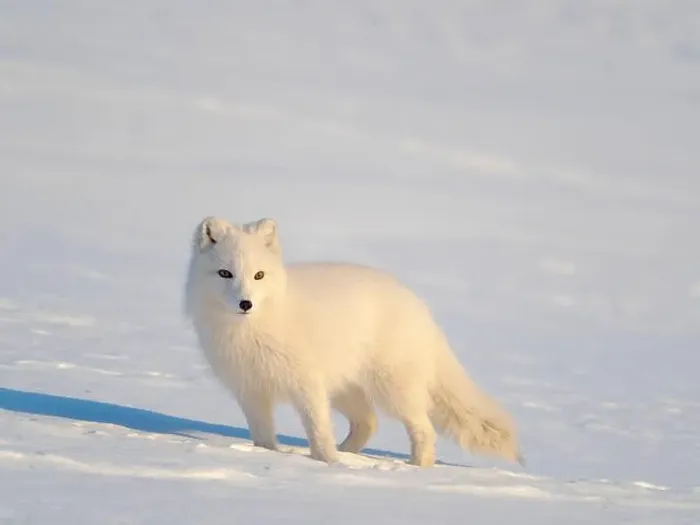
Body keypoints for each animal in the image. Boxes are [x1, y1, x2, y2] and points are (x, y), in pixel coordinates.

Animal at [184, 216, 522, 467]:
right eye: (225, 273)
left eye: (259, 275)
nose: (246, 304)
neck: (251, 330)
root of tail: (419, 305)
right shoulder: (250, 389)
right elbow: (263, 436)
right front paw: (268, 456)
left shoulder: (306, 384)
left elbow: (318, 429)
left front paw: (327, 463)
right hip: (346, 390)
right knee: (369, 422)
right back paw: (350, 455)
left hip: (392, 390)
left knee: (423, 429)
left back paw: (414, 468)